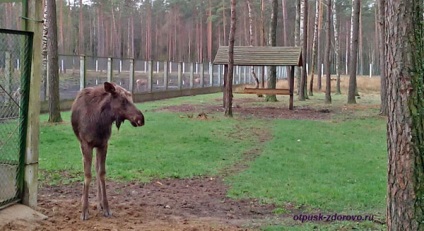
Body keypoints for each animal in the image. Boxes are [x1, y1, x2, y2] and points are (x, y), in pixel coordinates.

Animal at [70, 81, 145, 220]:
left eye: (131, 98)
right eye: (123, 100)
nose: (140, 119)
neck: (99, 121)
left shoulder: (103, 144)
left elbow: (101, 173)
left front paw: (106, 207)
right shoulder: (86, 144)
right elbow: (87, 175)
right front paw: (84, 210)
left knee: (96, 169)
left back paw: (99, 203)